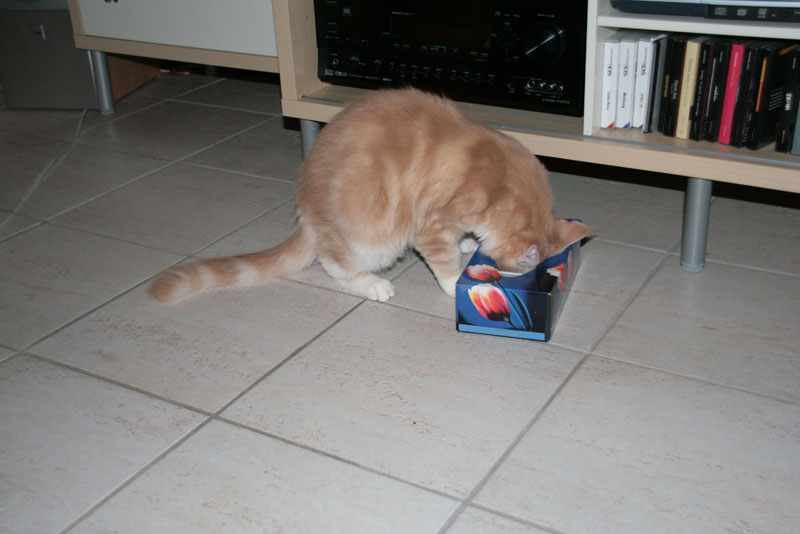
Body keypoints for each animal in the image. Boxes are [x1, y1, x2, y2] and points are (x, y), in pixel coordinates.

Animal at [151, 87, 589, 303]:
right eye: (518, 268)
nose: (510, 279)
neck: (505, 177)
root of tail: (306, 213)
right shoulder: (431, 226)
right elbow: (444, 263)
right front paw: (456, 285)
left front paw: (468, 243)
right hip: (371, 240)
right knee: (333, 264)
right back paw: (372, 285)